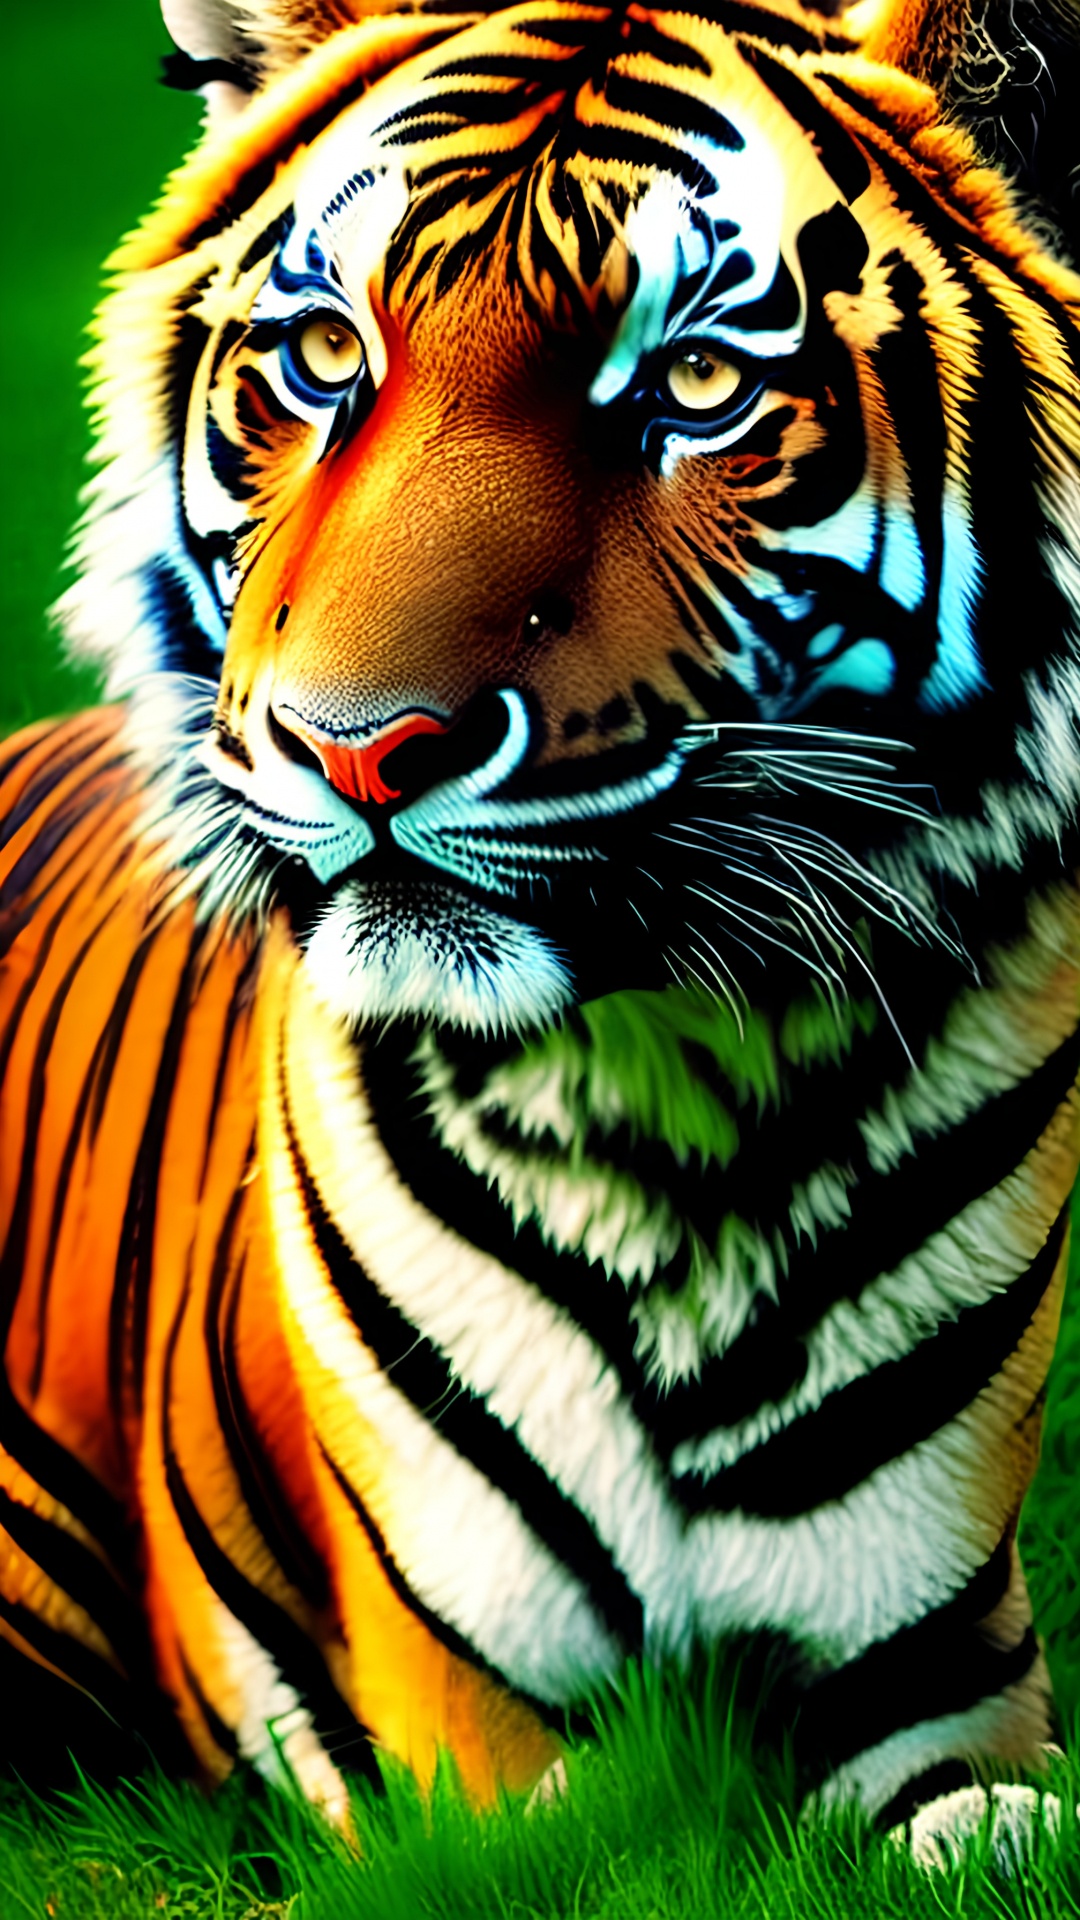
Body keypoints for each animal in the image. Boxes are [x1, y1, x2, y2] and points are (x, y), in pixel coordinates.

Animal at [2, 0, 1080, 1851]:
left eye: (698, 384)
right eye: (324, 355)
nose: (358, 746)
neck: (687, 1112)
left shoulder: (944, 1654)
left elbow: (986, 1820)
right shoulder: (468, 1722)